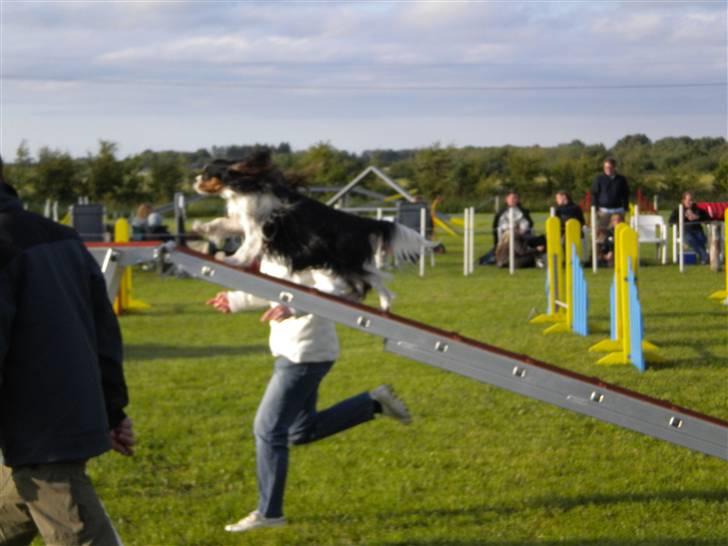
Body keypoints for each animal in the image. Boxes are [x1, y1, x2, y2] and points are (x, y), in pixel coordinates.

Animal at [191, 151, 436, 308]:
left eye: (207, 174)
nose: (194, 180)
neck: (246, 185)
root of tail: (361, 222)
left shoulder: (258, 229)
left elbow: (247, 248)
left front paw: (231, 260)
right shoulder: (243, 222)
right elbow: (220, 223)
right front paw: (200, 226)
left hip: (347, 261)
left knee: (374, 278)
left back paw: (385, 302)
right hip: (341, 266)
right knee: (361, 285)